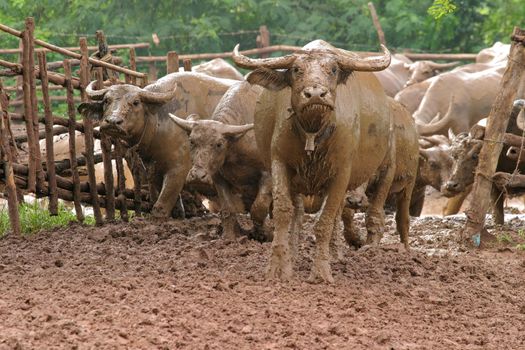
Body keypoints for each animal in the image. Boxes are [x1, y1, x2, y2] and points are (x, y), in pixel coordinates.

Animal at [170, 81, 272, 241]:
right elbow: (227, 209)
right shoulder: (218, 177)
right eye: (192, 141)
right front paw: (229, 237)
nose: (198, 177)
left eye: (219, 144)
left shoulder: (268, 175)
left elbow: (259, 208)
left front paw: (264, 233)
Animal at [233, 39, 392, 284]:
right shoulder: (279, 162)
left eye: (333, 70)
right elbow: (283, 212)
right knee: (298, 212)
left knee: (337, 215)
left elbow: (325, 220)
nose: (316, 94)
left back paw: (335, 255)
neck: (313, 133)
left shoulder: (341, 174)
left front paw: (321, 271)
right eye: (296, 70)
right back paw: (293, 253)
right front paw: (279, 267)